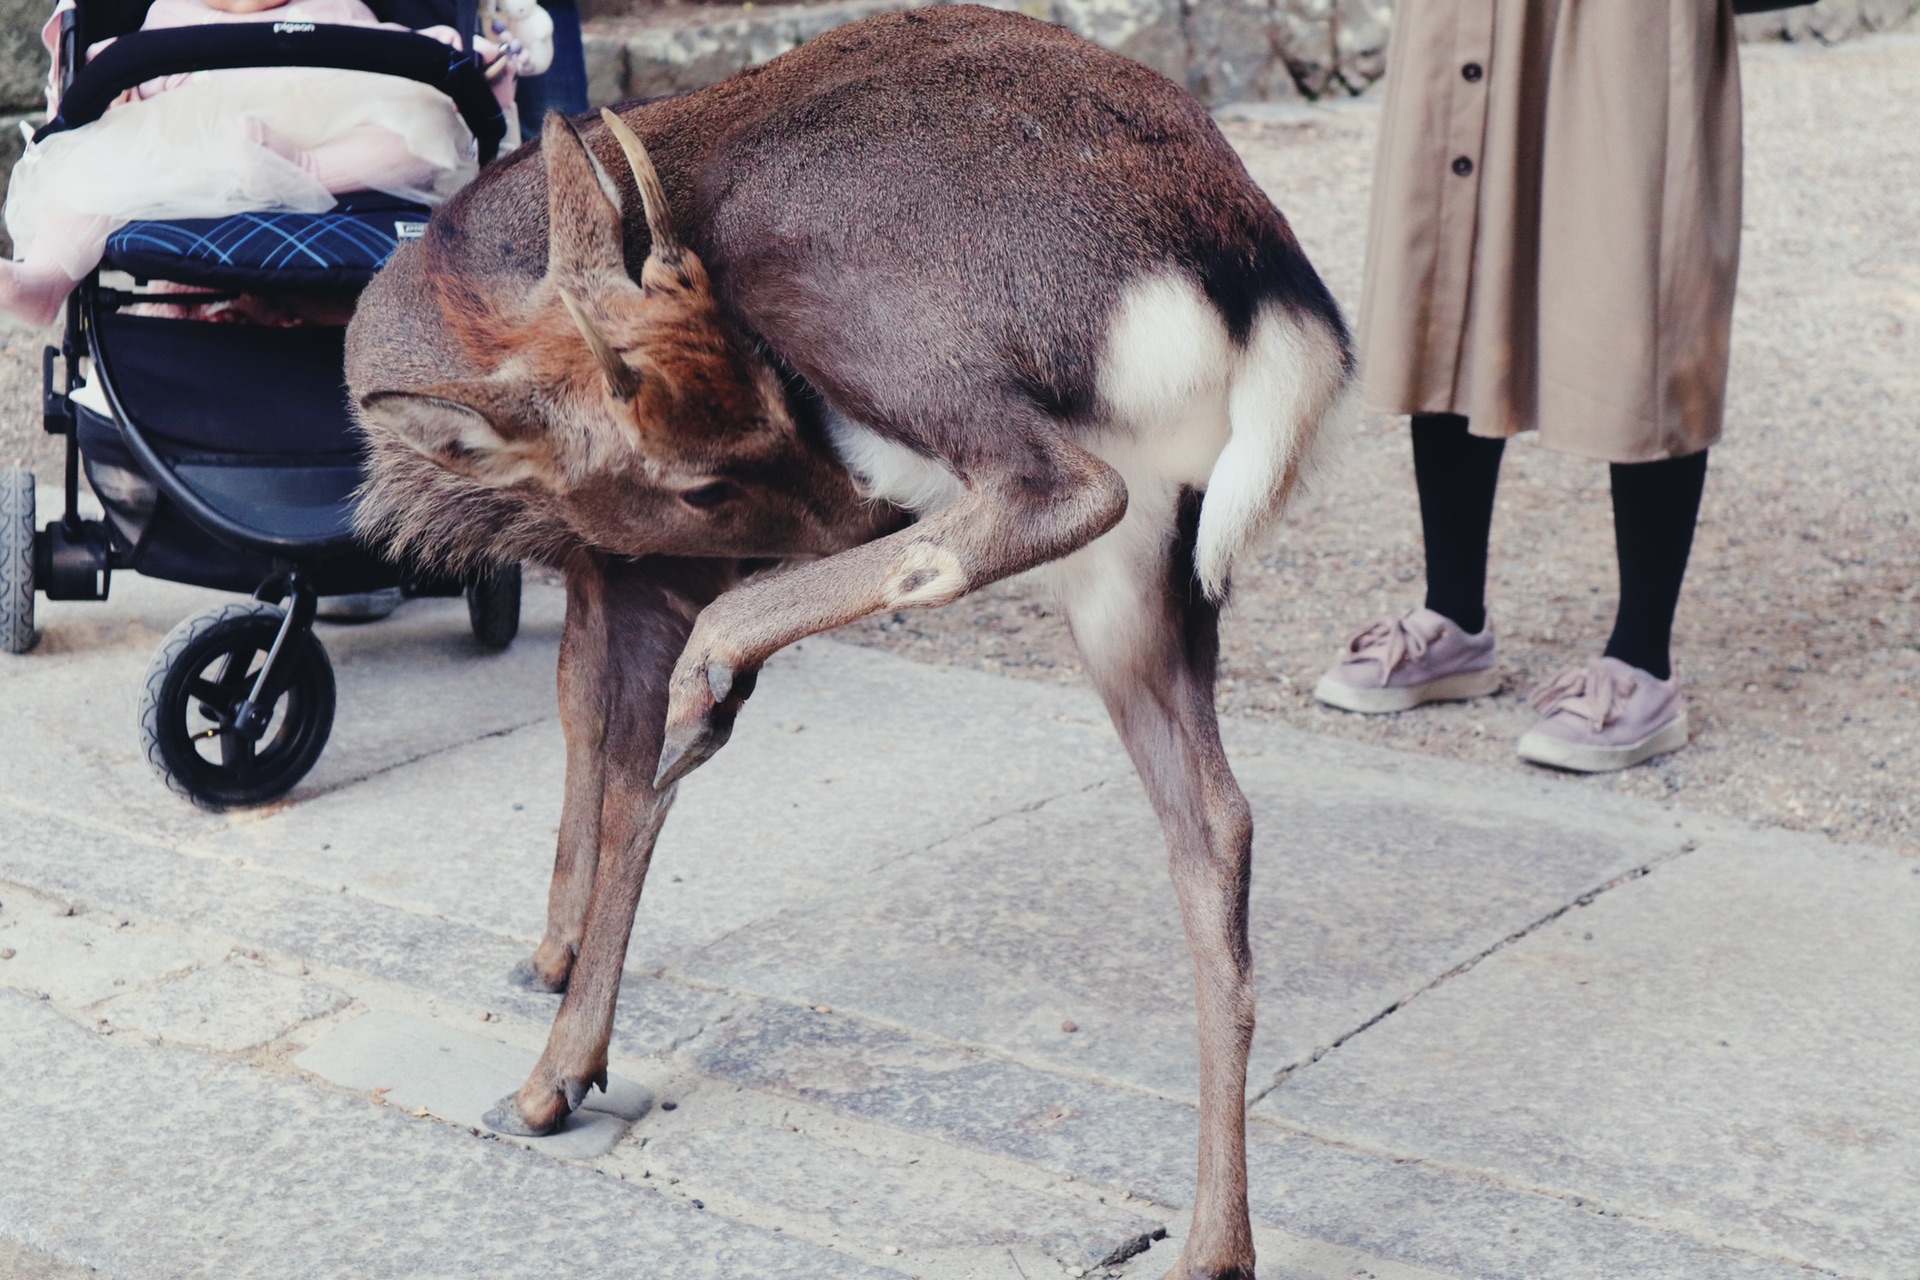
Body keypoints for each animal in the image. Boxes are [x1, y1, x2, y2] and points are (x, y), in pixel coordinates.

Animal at [353, 7, 1359, 1274]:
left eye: (777, 396)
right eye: (703, 477)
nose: (857, 507)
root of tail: (1267, 288)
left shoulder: (653, 567)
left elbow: (629, 778)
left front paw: (555, 1072)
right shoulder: (603, 564)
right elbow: (577, 713)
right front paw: (549, 954)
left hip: (855, 291)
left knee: (1047, 485)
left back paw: (717, 673)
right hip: (1153, 567)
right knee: (1215, 822)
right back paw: (1215, 1243)